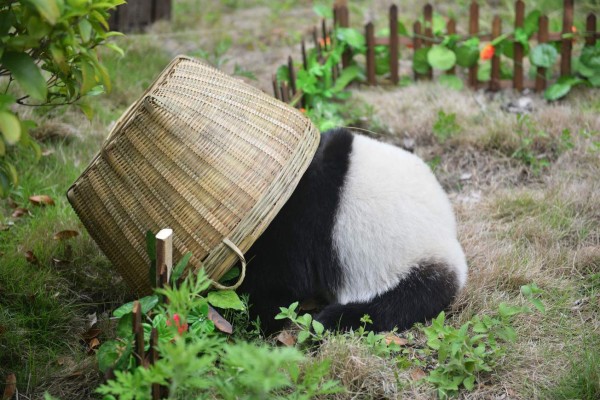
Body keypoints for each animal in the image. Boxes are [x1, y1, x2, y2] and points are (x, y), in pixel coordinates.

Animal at [237, 128, 466, 334]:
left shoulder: (301, 221)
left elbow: (277, 282)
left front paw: (251, 323)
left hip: (414, 268)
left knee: (395, 305)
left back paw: (330, 320)